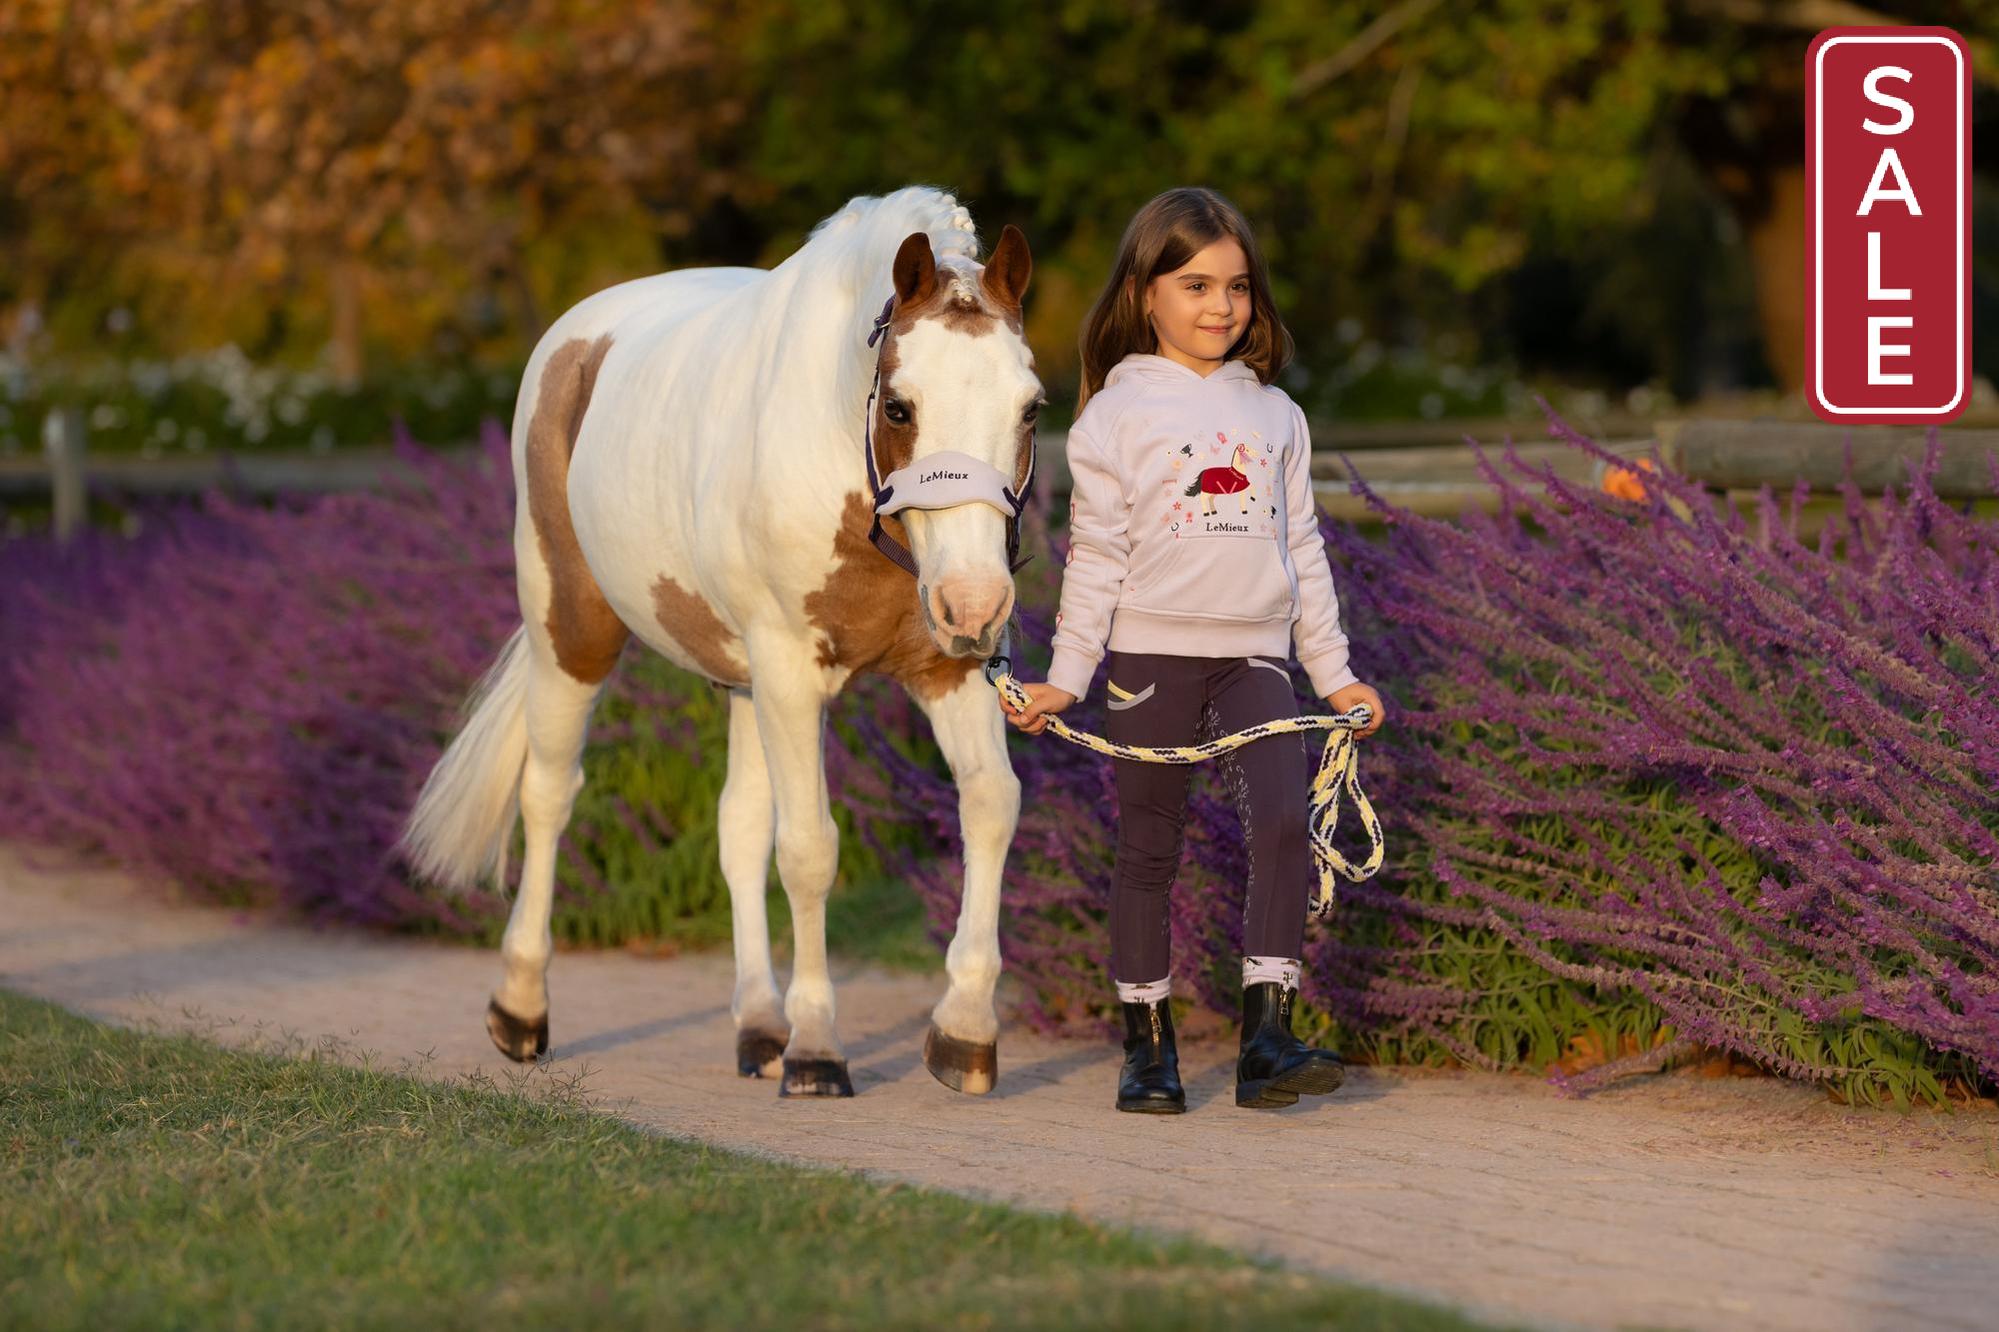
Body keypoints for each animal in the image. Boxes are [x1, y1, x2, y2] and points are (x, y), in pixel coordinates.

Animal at [399, 187, 1041, 1098]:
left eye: (1030, 407)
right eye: (899, 406)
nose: (975, 603)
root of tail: (574, 340)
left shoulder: (944, 671)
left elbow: (988, 807)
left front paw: (963, 1031)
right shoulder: (792, 676)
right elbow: (808, 849)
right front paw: (816, 1049)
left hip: (742, 683)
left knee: (737, 828)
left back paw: (758, 1025)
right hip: (573, 632)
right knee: (549, 794)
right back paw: (521, 1009)